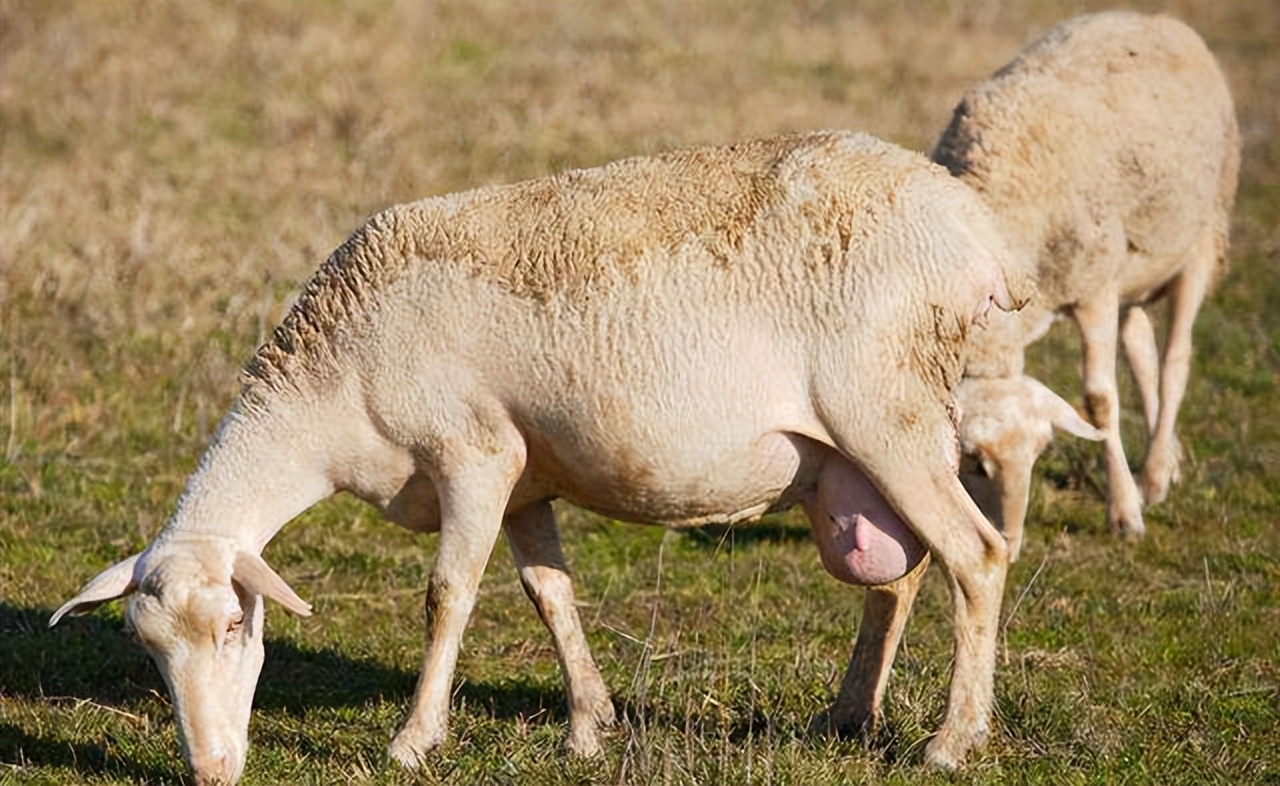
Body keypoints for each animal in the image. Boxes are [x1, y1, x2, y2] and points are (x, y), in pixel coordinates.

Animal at [47, 129, 1039, 783]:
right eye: (146, 650)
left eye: (231, 627)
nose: (210, 770)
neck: (334, 391)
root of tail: (976, 231)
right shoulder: (525, 478)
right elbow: (548, 593)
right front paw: (590, 725)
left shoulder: (473, 454)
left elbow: (448, 595)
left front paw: (414, 740)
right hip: (869, 444)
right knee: (901, 576)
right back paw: (849, 714)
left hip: (886, 407)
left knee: (977, 557)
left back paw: (952, 742)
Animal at [931, 10, 1239, 555]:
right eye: (975, 463)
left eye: (1039, 456)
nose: (1008, 542)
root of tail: (1153, 18)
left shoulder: (1094, 287)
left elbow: (1100, 400)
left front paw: (1126, 513)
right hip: (1132, 267)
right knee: (1141, 349)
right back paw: (1167, 461)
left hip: (1200, 238)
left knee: (1175, 360)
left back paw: (1154, 474)